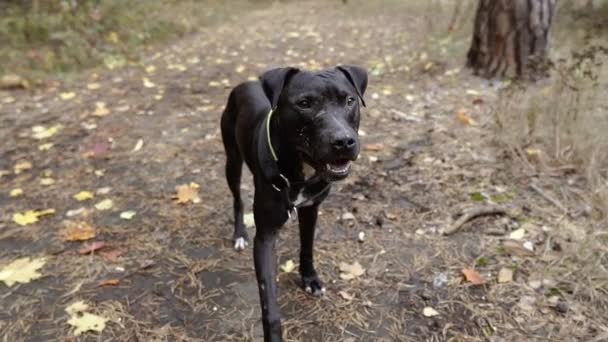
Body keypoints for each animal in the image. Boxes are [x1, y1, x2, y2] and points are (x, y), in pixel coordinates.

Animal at [222, 65, 368, 340]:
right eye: (304, 103)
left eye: (349, 100)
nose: (344, 141)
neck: (299, 172)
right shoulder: (265, 237)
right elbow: (268, 302)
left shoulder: (311, 210)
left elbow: (307, 247)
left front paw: (309, 279)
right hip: (232, 161)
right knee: (237, 199)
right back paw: (239, 234)